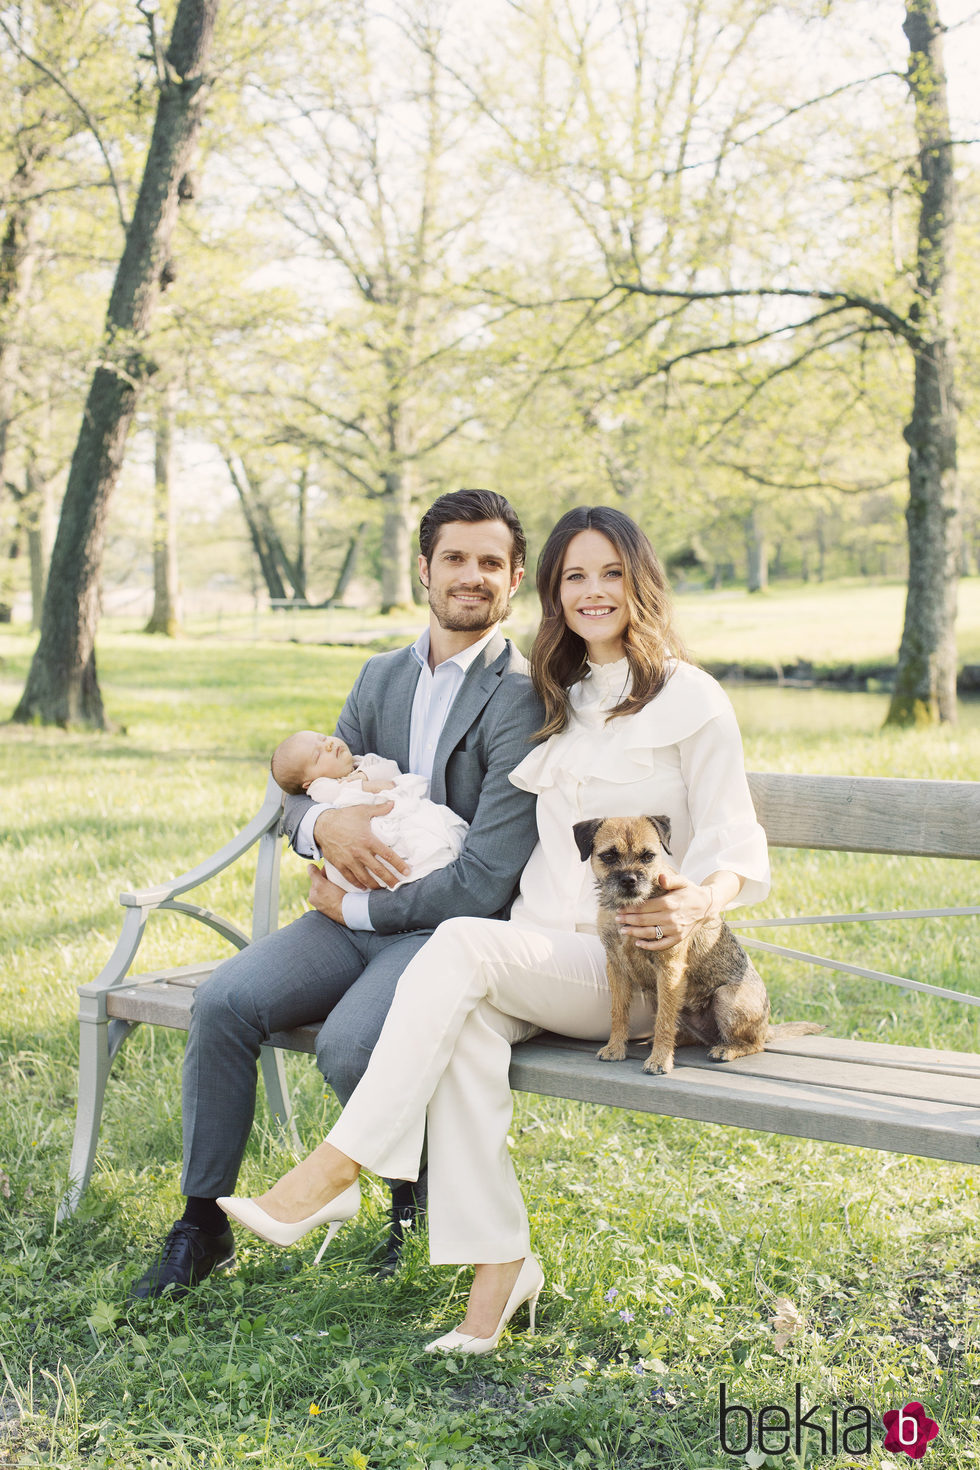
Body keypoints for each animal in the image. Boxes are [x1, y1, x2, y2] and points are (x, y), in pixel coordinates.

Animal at [570, 811, 822, 1076]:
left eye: (648, 856)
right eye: (608, 856)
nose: (629, 879)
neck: (630, 907)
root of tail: (766, 1027)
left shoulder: (669, 971)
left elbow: (664, 1021)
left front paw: (659, 1060)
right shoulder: (616, 968)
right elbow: (618, 1012)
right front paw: (615, 1048)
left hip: (726, 998)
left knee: (754, 1044)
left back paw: (727, 1049)